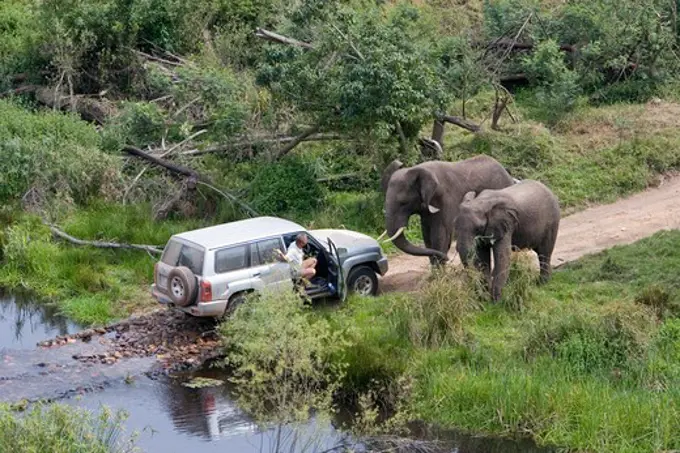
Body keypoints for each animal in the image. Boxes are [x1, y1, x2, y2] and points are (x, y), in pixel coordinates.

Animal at [382, 154, 516, 264]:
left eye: (403, 203)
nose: (447, 258)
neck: (418, 169)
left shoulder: (445, 199)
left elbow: (439, 236)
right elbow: (427, 235)